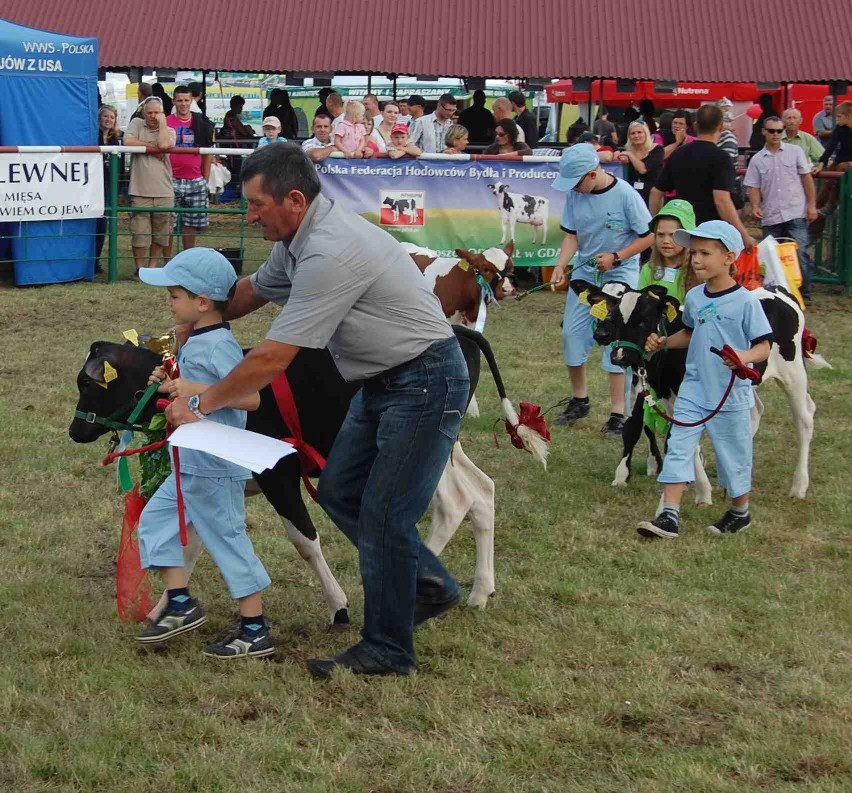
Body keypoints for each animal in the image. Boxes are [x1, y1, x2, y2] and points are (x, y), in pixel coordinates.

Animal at [576, 282, 828, 498]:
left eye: (644, 320)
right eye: (616, 318)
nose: (619, 355)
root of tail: (777, 290)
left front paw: (701, 491)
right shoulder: (663, 393)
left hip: (793, 373)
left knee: (805, 419)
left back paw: (799, 486)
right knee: (755, 411)